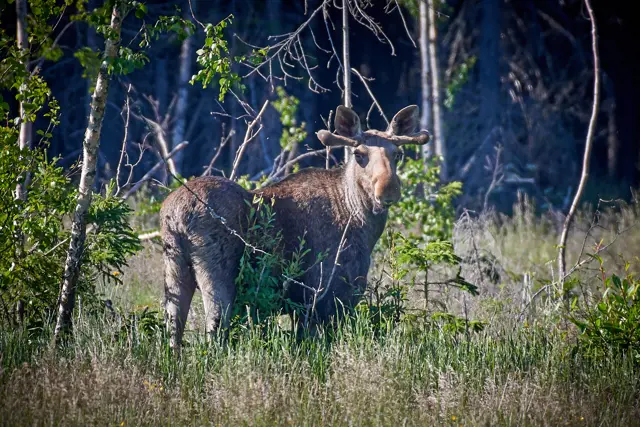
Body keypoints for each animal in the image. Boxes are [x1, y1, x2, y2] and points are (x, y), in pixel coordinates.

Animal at [160, 105, 430, 350]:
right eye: (359, 154)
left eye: (398, 154)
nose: (388, 189)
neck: (360, 220)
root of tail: (177, 214)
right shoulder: (327, 295)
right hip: (217, 273)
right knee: (215, 329)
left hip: (174, 269)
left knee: (173, 331)